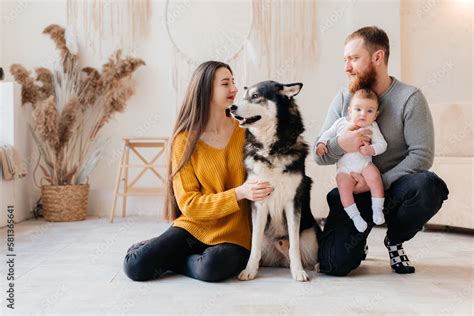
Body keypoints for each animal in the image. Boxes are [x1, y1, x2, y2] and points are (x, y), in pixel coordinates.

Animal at [229, 79, 318, 282]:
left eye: (255, 96)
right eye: (243, 96)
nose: (231, 108)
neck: (272, 149)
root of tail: (281, 261)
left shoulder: (293, 202)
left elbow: (294, 245)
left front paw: (298, 271)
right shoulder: (259, 201)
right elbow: (254, 246)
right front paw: (249, 270)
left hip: (312, 235)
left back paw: (315, 265)